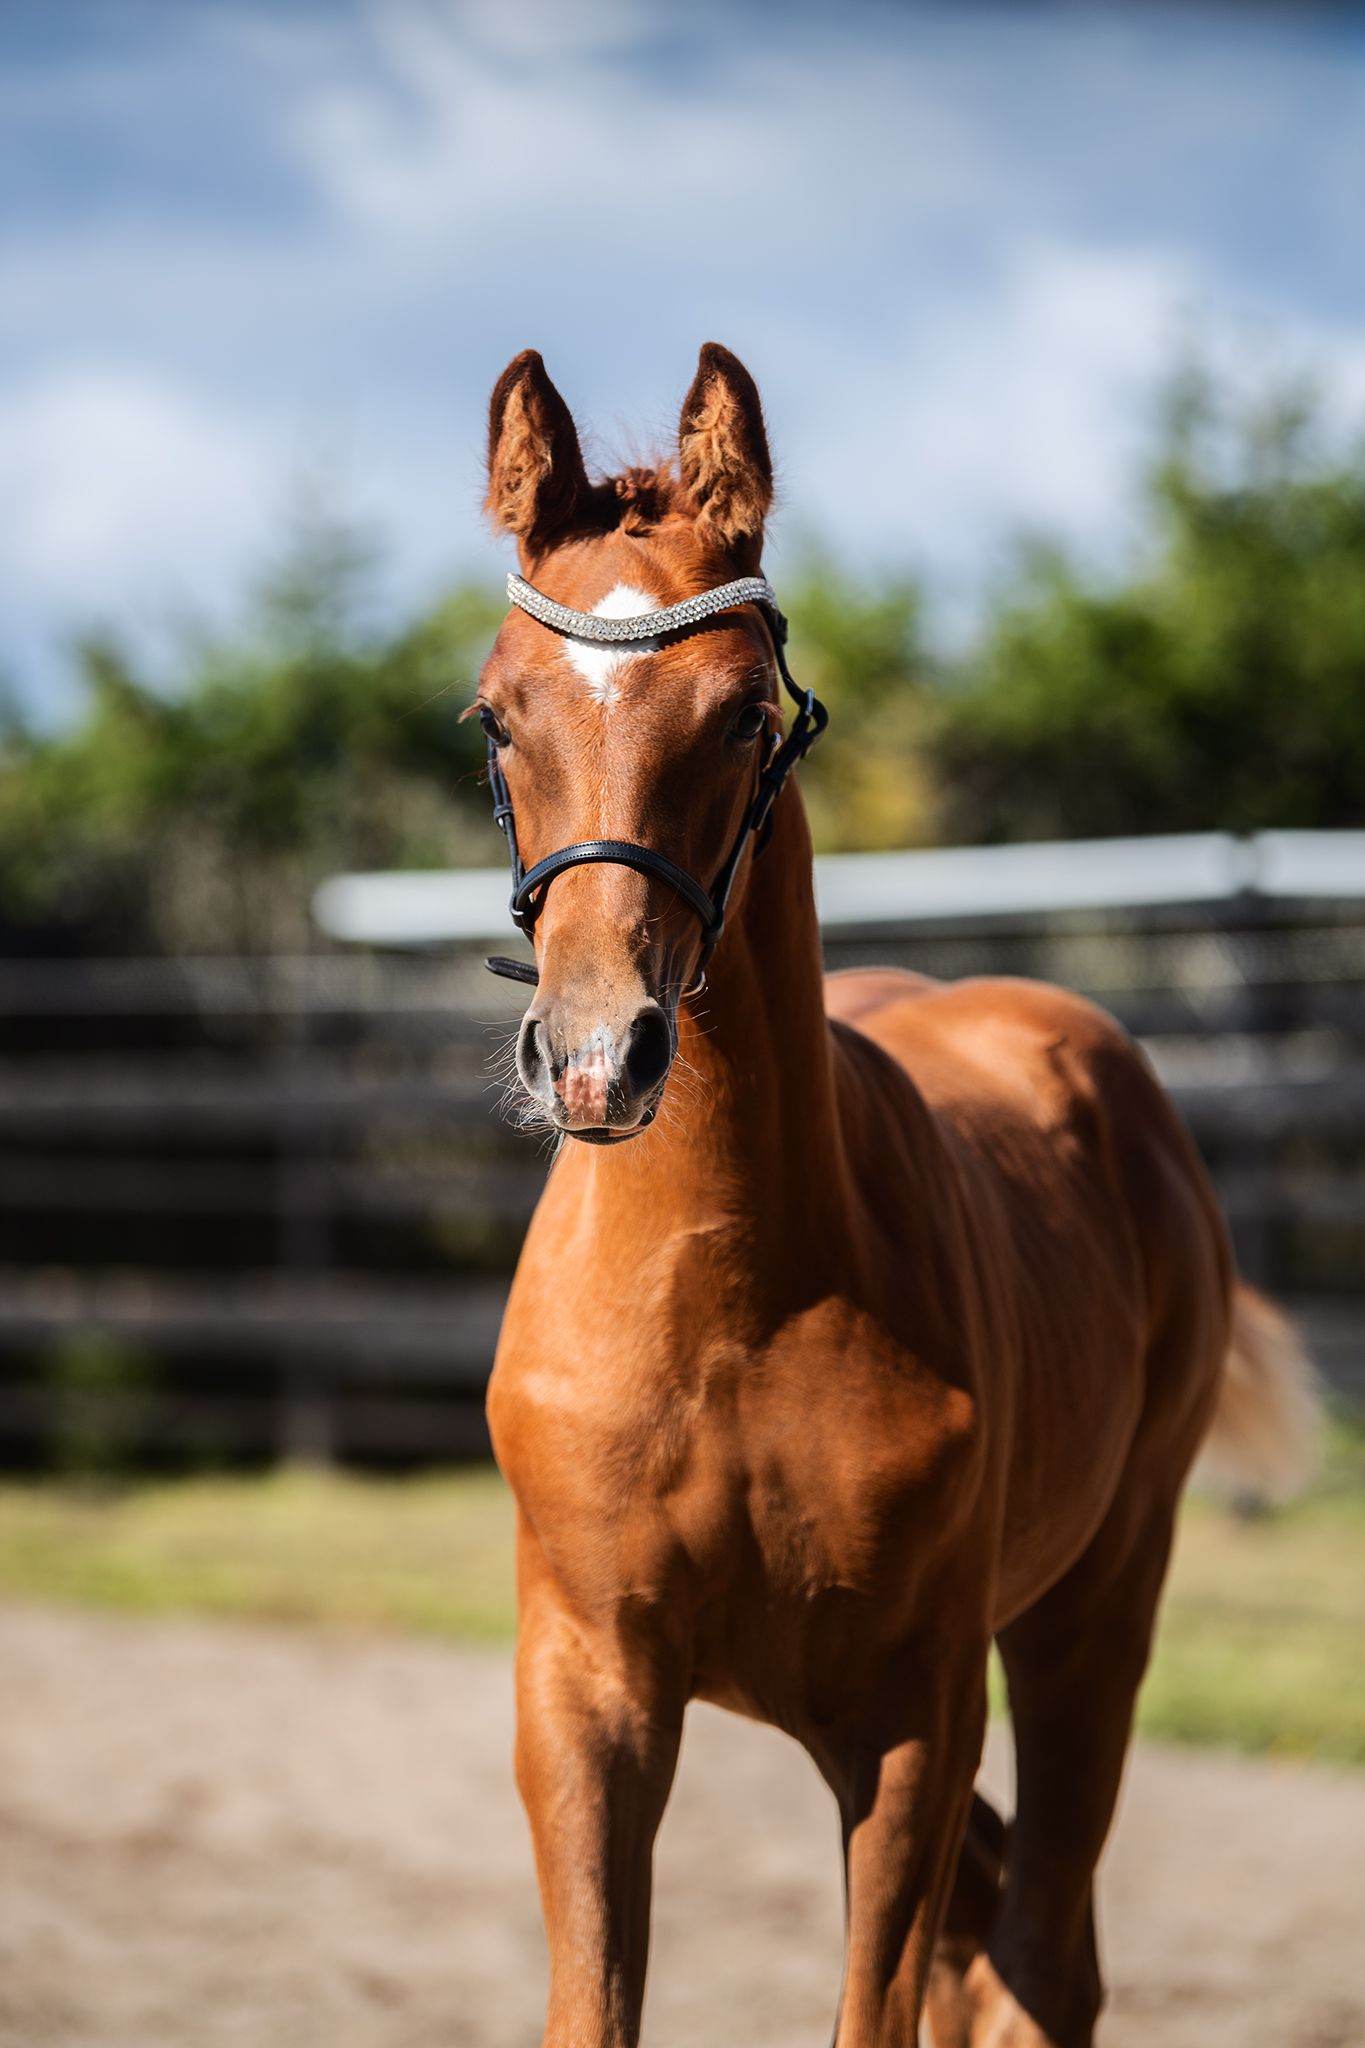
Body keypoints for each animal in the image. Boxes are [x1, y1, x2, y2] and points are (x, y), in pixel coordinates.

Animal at [477, 342, 1318, 2048]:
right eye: (494, 715)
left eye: (742, 714)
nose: (596, 1057)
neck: (725, 1297)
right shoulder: (584, 1694)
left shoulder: (910, 1719)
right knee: (989, 1942)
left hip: (1088, 1616)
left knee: (1037, 1954)